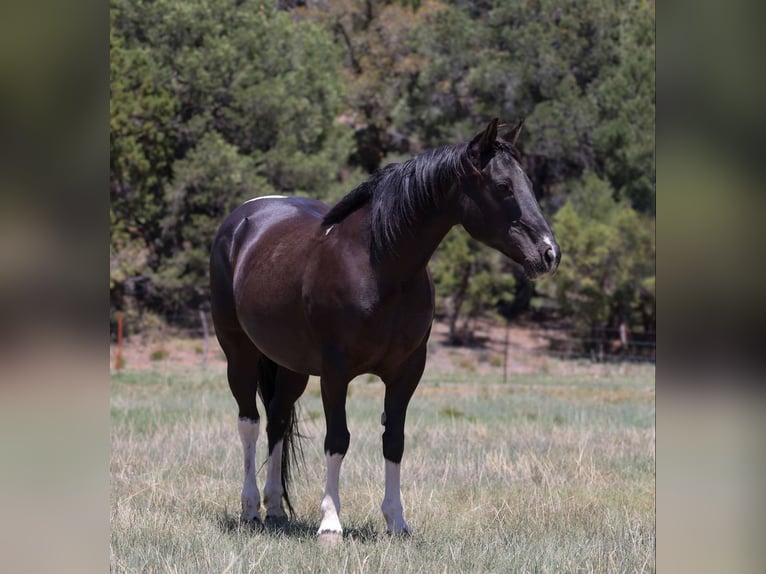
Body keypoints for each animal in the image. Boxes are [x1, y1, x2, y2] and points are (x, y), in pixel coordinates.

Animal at [209, 118, 560, 538]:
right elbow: (337, 439)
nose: (549, 253)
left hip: (292, 365)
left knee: (277, 421)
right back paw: (249, 509)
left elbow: (394, 440)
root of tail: (242, 220)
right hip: (239, 353)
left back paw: (275, 509)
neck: (378, 265)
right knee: (249, 421)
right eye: (503, 186)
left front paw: (397, 521)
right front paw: (331, 523)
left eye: (528, 184)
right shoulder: (336, 372)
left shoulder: (406, 371)